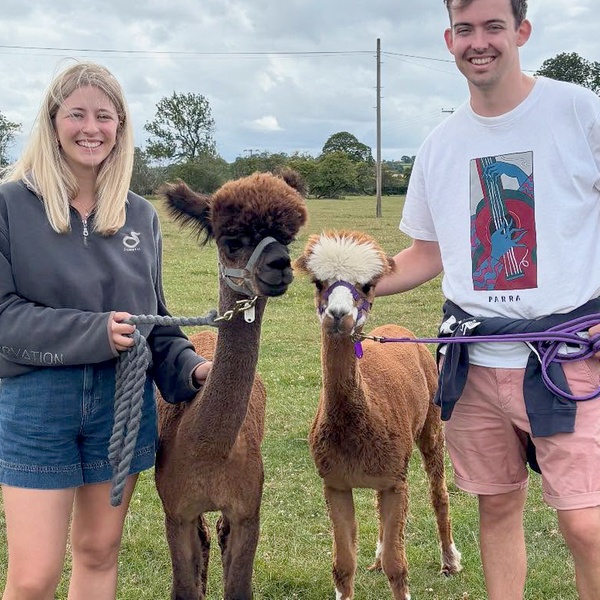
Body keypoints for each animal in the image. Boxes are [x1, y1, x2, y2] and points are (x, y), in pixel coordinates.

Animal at [155, 170, 307, 600]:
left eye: (287, 238)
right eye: (232, 241)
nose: (280, 264)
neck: (209, 449)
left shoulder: (247, 509)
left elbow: (239, 587)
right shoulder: (177, 510)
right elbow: (184, 589)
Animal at [294, 230, 462, 600]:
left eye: (367, 285)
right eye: (318, 282)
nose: (338, 313)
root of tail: (399, 329)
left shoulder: (396, 482)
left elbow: (398, 567)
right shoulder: (336, 482)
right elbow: (343, 566)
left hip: (432, 420)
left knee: (439, 494)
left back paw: (449, 561)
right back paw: (378, 555)